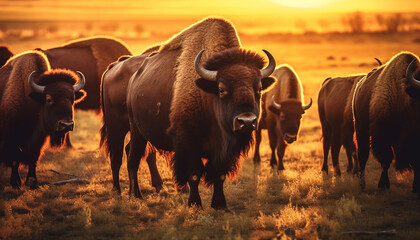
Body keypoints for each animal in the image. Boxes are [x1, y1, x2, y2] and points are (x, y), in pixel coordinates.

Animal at [0, 51, 86, 189]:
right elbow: (15, 160)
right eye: (49, 99)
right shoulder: (12, 138)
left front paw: (32, 182)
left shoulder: (39, 140)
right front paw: (16, 183)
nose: (66, 125)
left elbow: (33, 159)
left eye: (72, 99)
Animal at [354, 51, 420, 194]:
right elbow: (386, 159)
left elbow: (415, 159)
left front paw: (416, 187)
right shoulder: (382, 136)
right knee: (362, 155)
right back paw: (362, 184)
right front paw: (383, 185)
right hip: (361, 129)